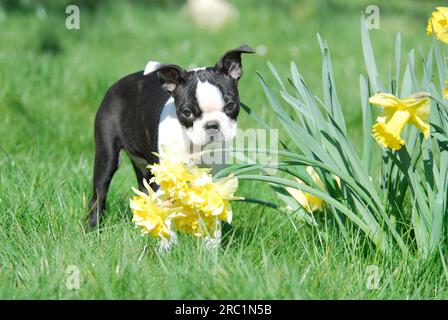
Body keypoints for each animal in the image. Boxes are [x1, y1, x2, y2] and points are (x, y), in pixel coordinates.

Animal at [87, 45, 254, 228]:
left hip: (144, 166)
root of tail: (117, 84)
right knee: (99, 193)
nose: (212, 125)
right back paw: (93, 227)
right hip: (107, 154)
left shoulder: (214, 175)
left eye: (230, 106)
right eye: (186, 113)